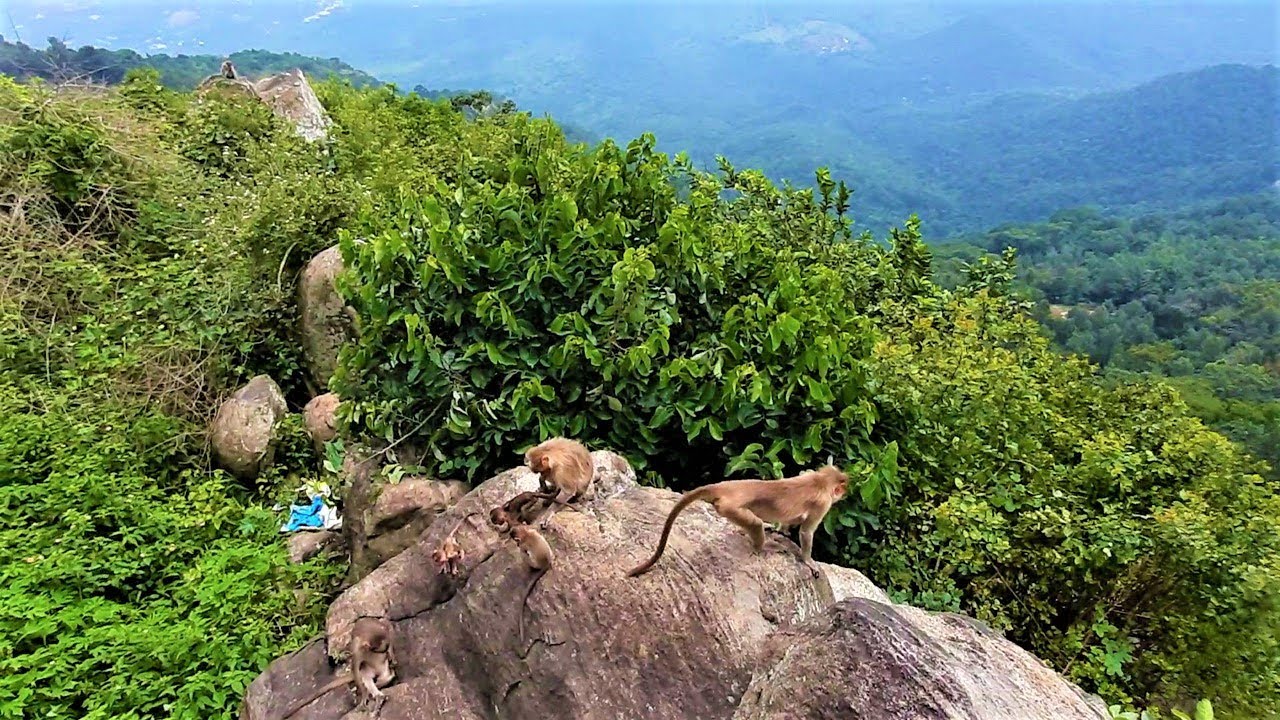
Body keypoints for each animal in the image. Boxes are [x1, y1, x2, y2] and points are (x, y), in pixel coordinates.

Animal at [627, 466, 849, 576]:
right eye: (841, 489)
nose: (844, 494)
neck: (820, 480)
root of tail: (724, 486)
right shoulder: (823, 503)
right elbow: (806, 532)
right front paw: (808, 561)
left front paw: (783, 529)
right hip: (730, 508)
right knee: (755, 524)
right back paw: (762, 548)